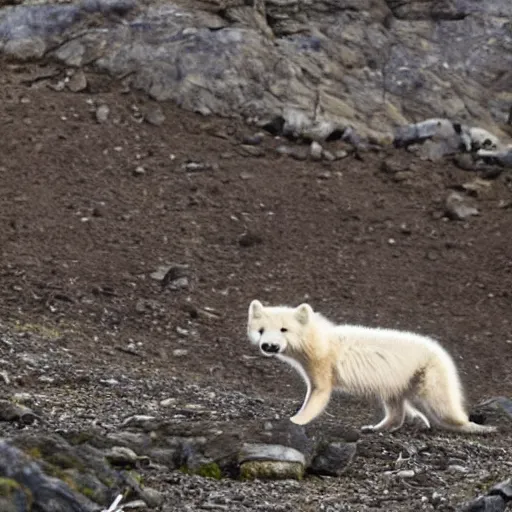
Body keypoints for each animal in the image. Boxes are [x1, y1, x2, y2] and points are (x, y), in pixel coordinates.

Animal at [248, 300, 496, 436]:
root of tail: (441, 351)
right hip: (403, 376)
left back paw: (478, 427)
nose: (268, 346)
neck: (319, 340)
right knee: (395, 403)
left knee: (442, 403)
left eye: (284, 329)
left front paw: (294, 420)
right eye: (261, 330)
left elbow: (319, 392)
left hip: (429, 371)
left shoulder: (323, 362)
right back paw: (375, 427)